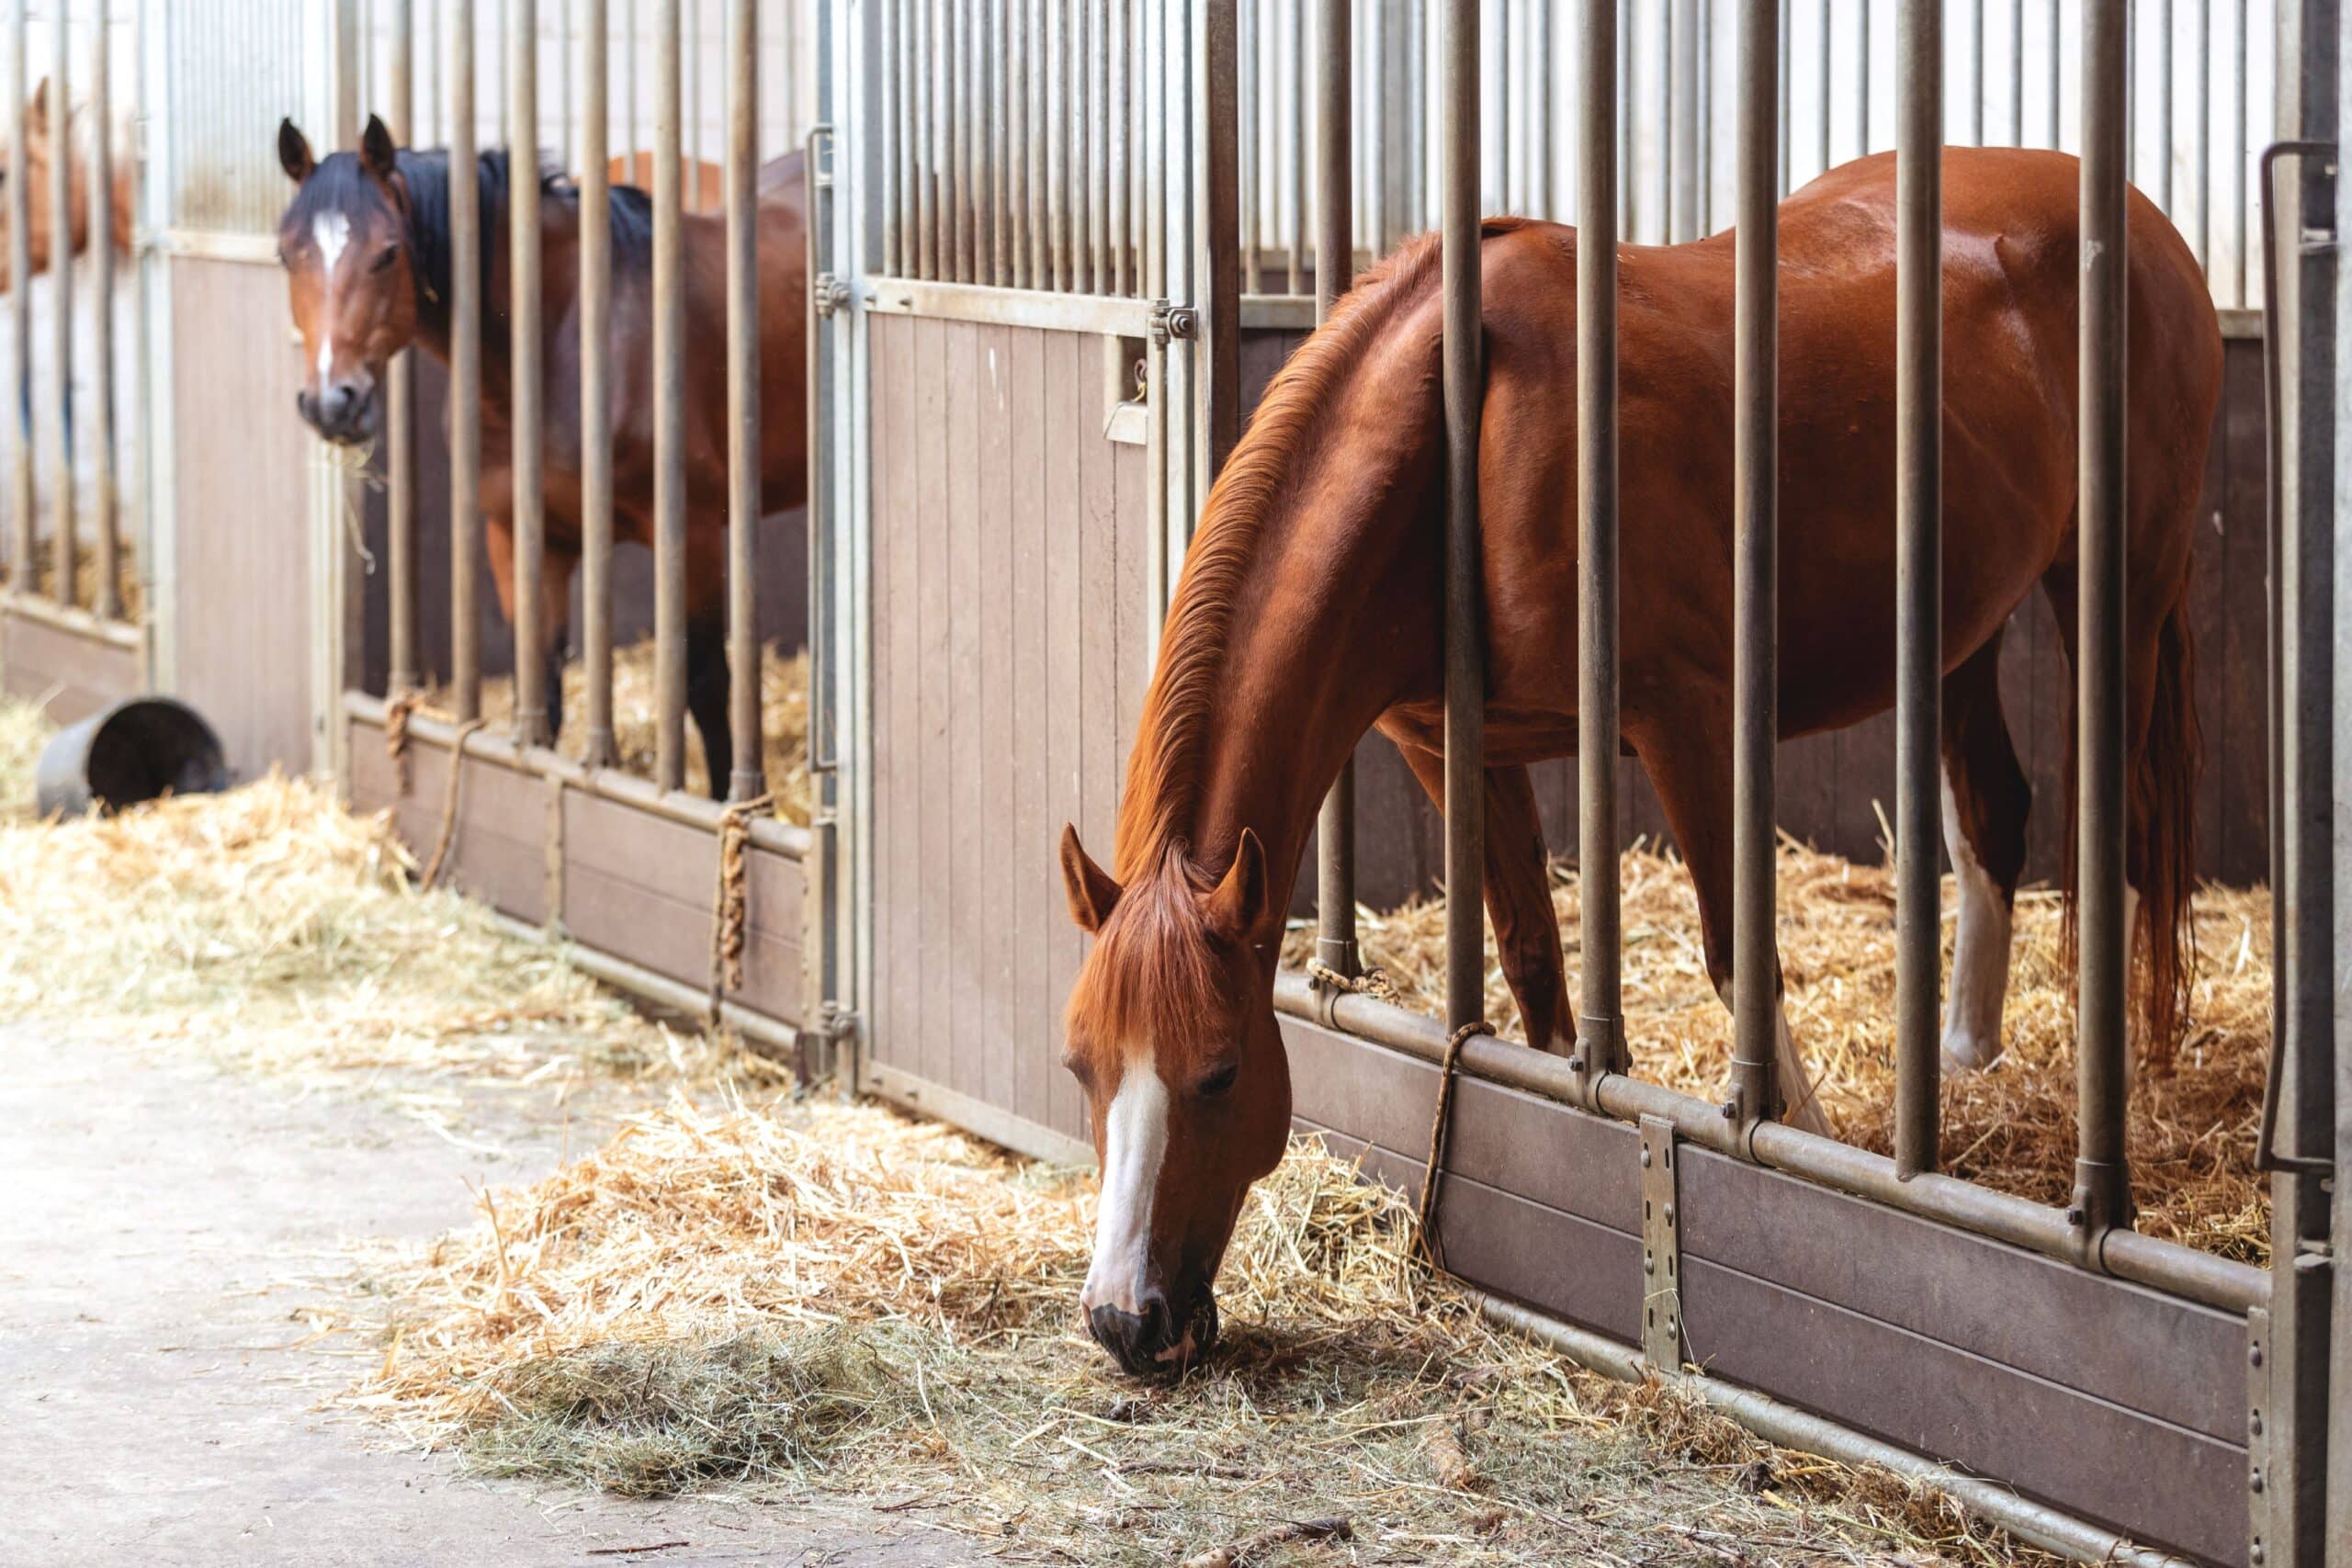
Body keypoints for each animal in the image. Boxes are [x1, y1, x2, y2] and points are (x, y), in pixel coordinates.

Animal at [270, 119, 808, 799]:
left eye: (388, 252)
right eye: (285, 255)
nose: (330, 403)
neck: (560, 347)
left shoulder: (694, 535)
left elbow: (707, 687)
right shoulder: (524, 539)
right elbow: (542, 690)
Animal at [1058, 143, 2211, 1372]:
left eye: (1221, 1070)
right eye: (1081, 1064)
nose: (1124, 1320)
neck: (1460, 436)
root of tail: (2127, 214)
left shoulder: (1684, 719)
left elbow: (1739, 958)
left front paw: (1815, 1163)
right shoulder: (1448, 746)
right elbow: (1532, 965)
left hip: (2117, 597)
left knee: (2108, 844)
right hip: (1958, 630)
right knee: (1991, 812)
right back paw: (1962, 1062)